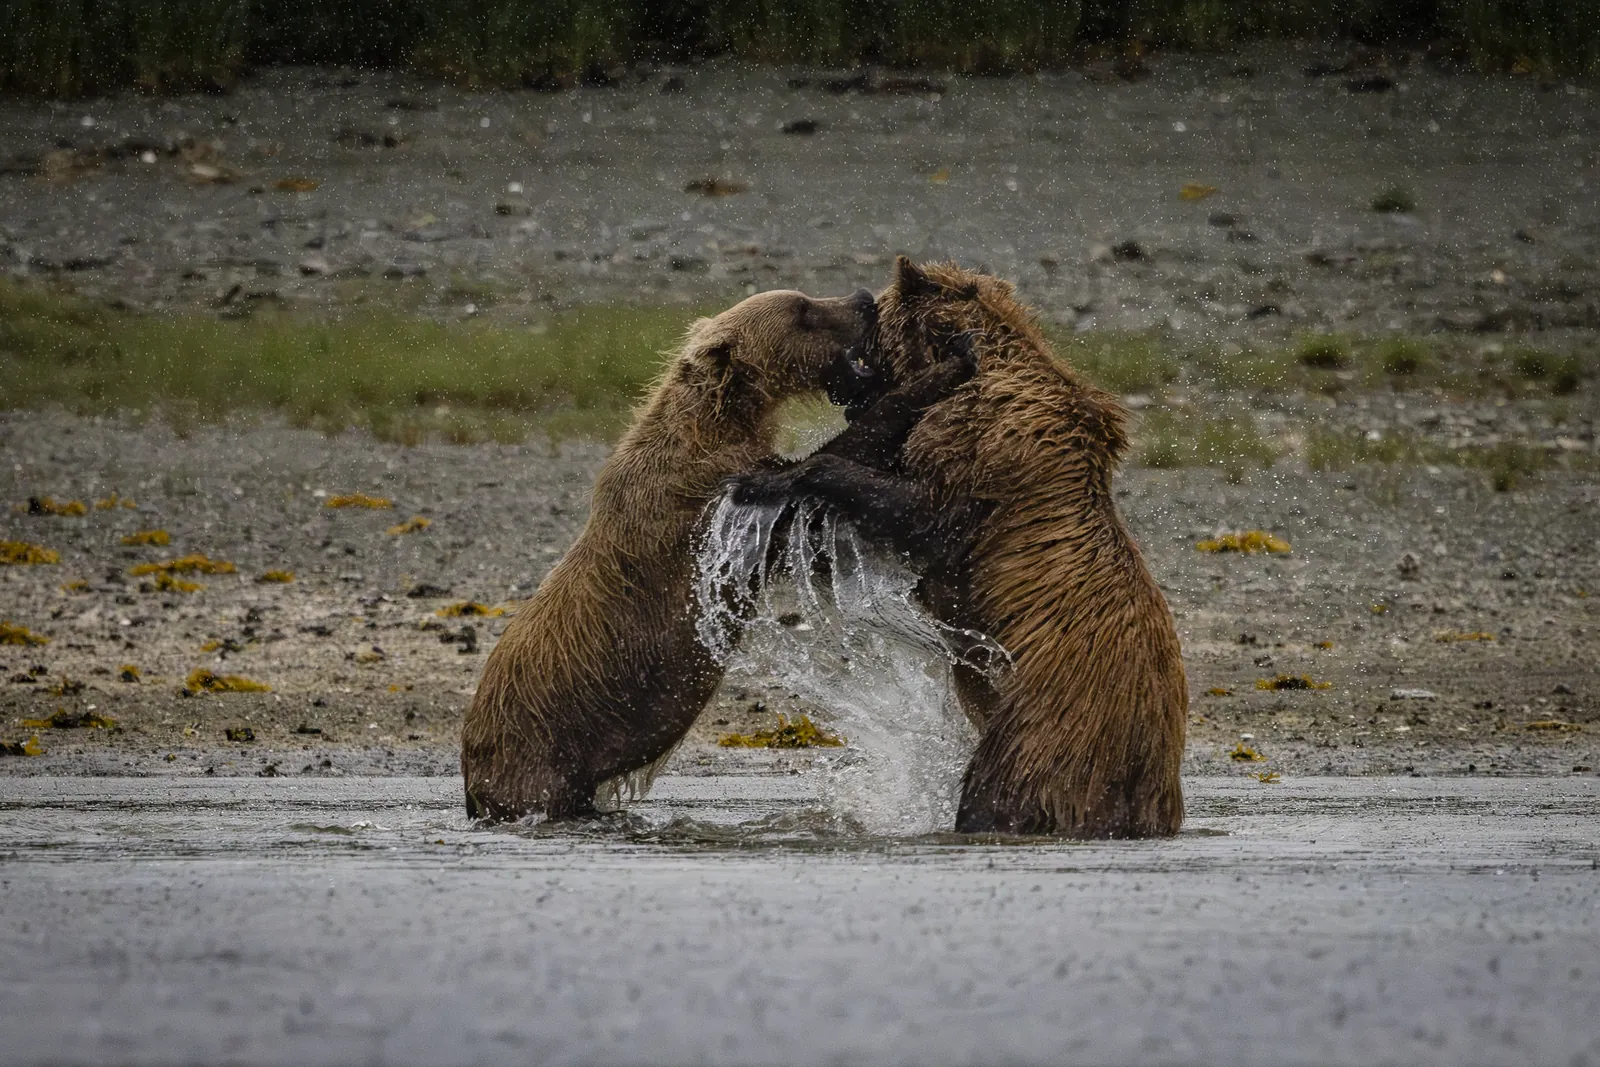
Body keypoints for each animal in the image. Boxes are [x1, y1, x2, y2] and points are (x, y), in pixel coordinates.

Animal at [460, 287, 883, 822]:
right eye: (802, 310)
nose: (864, 299)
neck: (725, 426)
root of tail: (469, 770)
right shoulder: (701, 503)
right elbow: (784, 517)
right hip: (537, 750)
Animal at [732, 258, 1188, 839]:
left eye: (870, 333)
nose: (843, 394)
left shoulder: (983, 455)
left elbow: (920, 516)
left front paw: (770, 480)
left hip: (1047, 734)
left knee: (1001, 789)